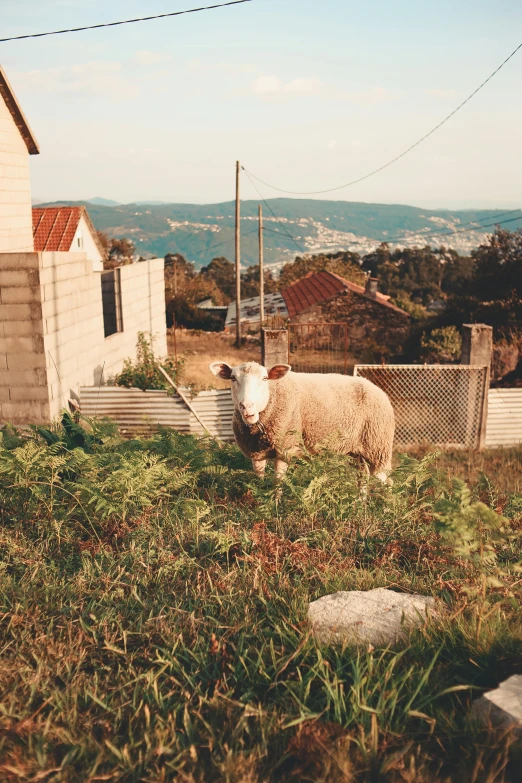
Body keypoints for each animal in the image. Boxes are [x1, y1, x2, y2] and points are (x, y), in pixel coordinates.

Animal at [207, 362, 390, 484]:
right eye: (232, 378)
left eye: (265, 378)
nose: (247, 406)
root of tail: (375, 387)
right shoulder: (256, 453)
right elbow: (259, 479)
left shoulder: (285, 448)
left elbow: (278, 482)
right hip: (357, 450)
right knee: (363, 476)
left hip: (378, 446)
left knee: (385, 480)